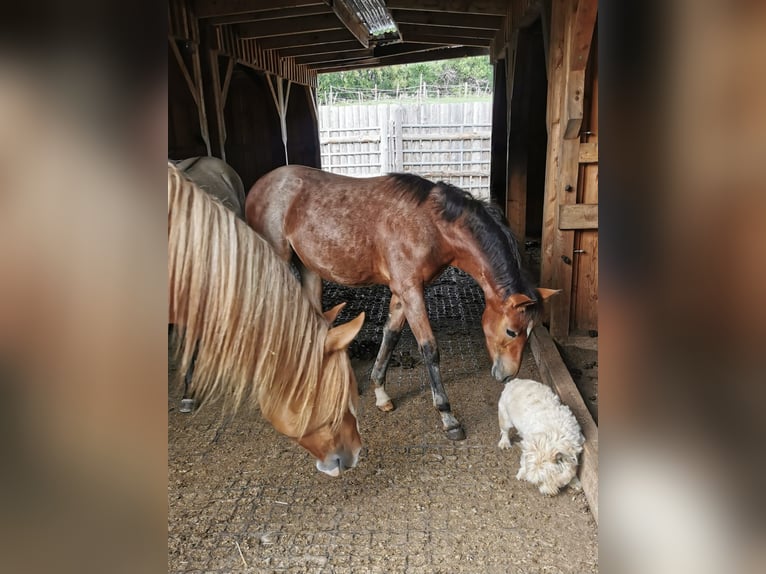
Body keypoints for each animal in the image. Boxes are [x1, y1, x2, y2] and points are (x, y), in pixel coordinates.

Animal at [249, 164, 560, 444]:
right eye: (511, 331)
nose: (507, 375)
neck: (431, 225)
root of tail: (259, 186)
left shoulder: (401, 293)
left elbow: (391, 336)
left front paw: (380, 393)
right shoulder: (412, 291)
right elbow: (429, 348)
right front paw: (448, 417)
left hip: (310, 270)